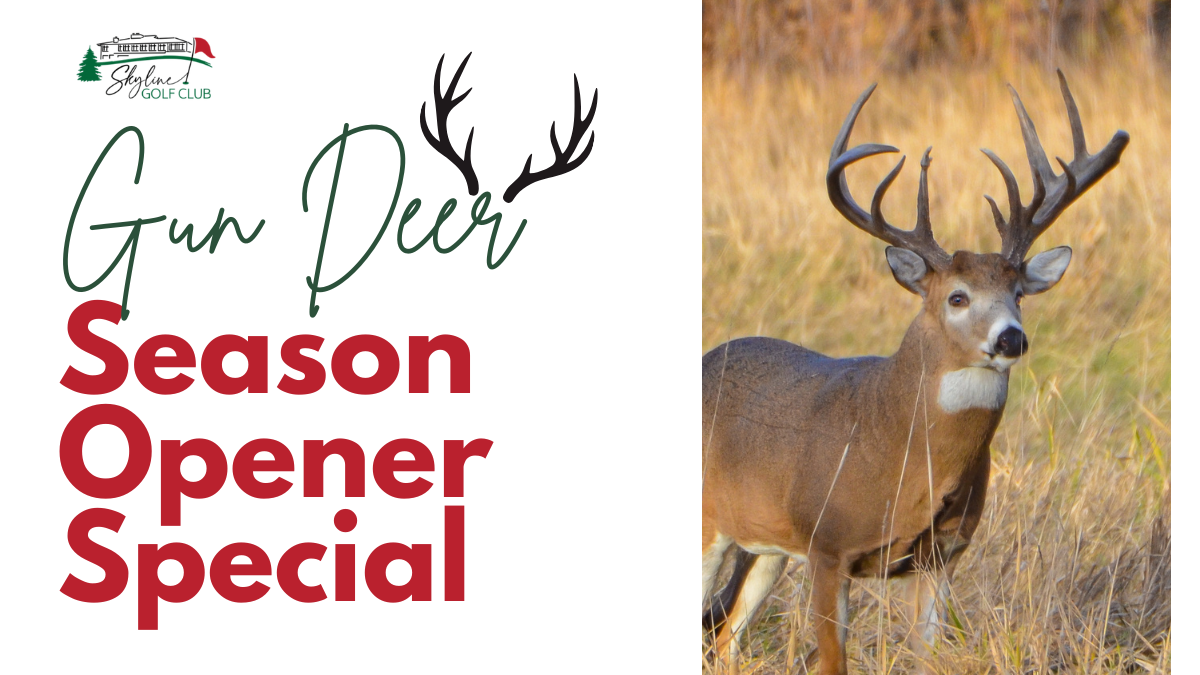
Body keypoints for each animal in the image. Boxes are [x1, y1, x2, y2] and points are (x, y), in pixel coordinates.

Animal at [701, 70, 1128, 675]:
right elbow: (834, 661)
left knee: (725, 640)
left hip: (763, 547)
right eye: (957, 296)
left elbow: (930, 655)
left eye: (1019, 294)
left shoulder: (940, 557)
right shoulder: (827, 546)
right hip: (712, 524)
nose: (1010, 338)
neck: (900, 446)